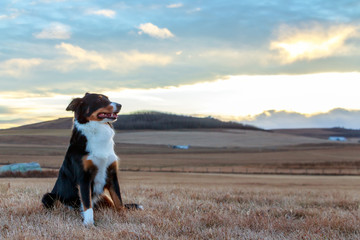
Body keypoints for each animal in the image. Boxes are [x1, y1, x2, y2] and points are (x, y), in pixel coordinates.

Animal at [41, 92, 142, 225]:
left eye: (108, 98)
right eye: (99, 100)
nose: (120, 105)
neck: (97, 130)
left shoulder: (112, 174)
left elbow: (119, 202)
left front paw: (124, 219)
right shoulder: (84, 177)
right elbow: (87, 204)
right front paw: (89, 224)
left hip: (103, 196)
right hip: (48, 196)